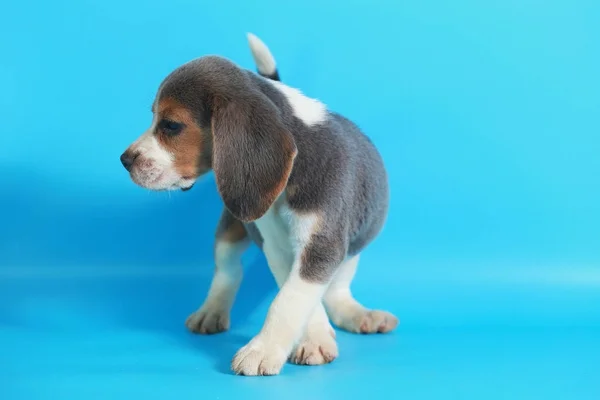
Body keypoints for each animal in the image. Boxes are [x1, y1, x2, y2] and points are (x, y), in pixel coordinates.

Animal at [119, 32, 396, 376]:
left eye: (171, 125)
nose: (125, 160)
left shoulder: (322, 245)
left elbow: (291, 299)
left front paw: (263, 350)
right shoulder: (276, 246)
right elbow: (294, 296)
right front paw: (312, 337)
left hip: (352, 250)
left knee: (337, 290)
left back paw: (358, 314)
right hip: (230, 229)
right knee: (228, 271)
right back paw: (211, 311)